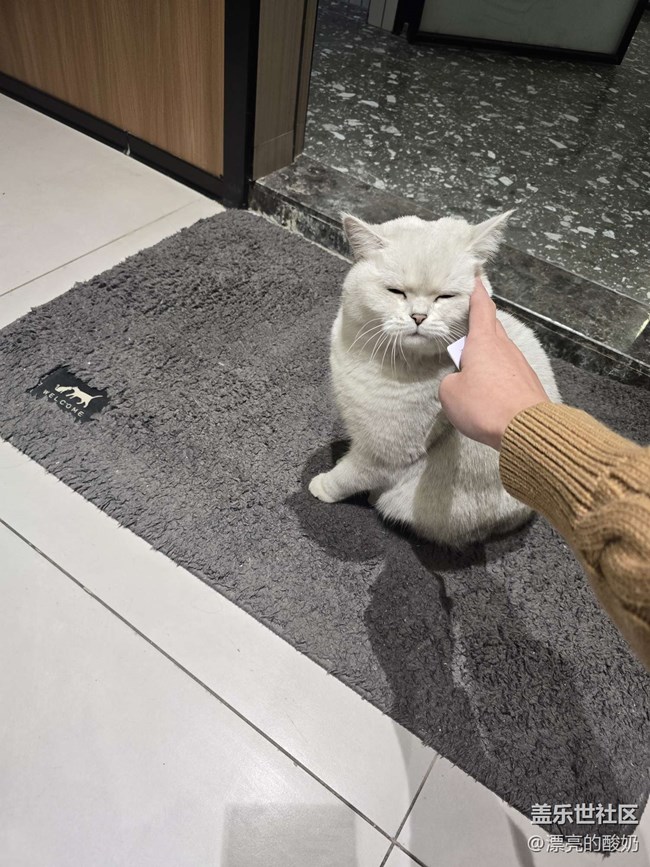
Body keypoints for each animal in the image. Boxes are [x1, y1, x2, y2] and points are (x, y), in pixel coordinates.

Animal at [309, 210, 561, 548]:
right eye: (396, 292)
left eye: (445, 297)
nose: (419, 316)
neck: (379, 362)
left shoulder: (382, 454)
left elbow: (348, 476)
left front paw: (323, 486)